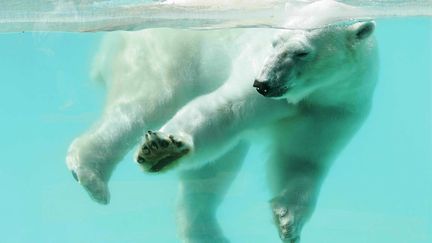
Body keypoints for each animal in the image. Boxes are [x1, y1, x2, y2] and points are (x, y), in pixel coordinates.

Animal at [66, 0, 378, 242]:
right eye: (274, 42)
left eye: (302, 52)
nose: (263, 84)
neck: (313, 92)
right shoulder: (256, 72)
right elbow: (223, 111)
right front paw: (164, 148)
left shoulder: (337, 105)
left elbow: (302, 157)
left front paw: (288, 220)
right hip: (164, 51)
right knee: (146, 102)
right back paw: (91, 172)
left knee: (215, 170)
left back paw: (207, 233)